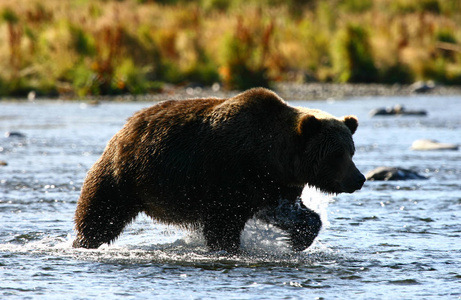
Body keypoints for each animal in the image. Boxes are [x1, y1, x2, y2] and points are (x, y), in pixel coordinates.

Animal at [73, 88, 362, 252]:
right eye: (336, 154)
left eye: (351, 151)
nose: (358, 179)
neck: (271, 157)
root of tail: (127, 125)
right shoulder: (228, 175)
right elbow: (223, 223)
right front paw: (227, 247)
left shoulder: (273, 186)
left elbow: (290, 212)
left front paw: (298, 239)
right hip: (123, 176)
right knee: (101, 214)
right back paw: (83, 242)